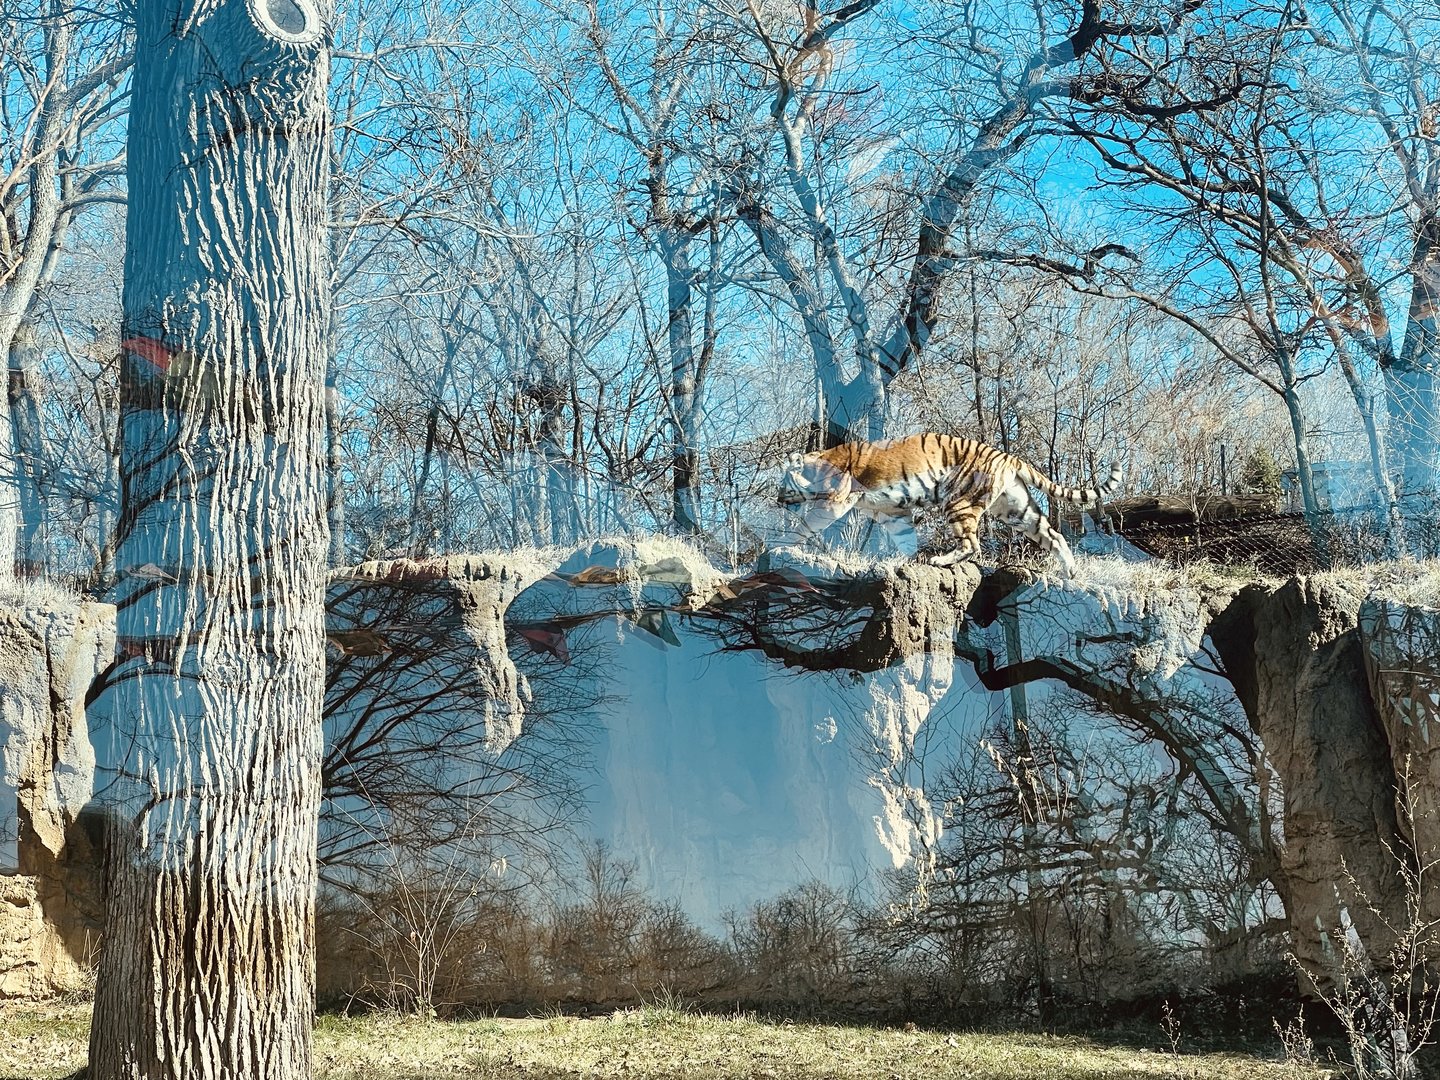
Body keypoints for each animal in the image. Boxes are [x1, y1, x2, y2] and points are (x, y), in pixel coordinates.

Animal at [778, 433, 1122, 576]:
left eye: (783, 482)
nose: (779, 500)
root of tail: (1009, 457)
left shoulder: (834, 501)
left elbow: (804, 526)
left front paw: (779, 545)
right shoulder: (894, 512)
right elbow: (905, 539)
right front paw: (902, 561)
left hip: (958, 501)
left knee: (972, 544)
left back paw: (939, 561)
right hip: (1016, 509)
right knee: (1054, 535)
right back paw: (1070, 571)